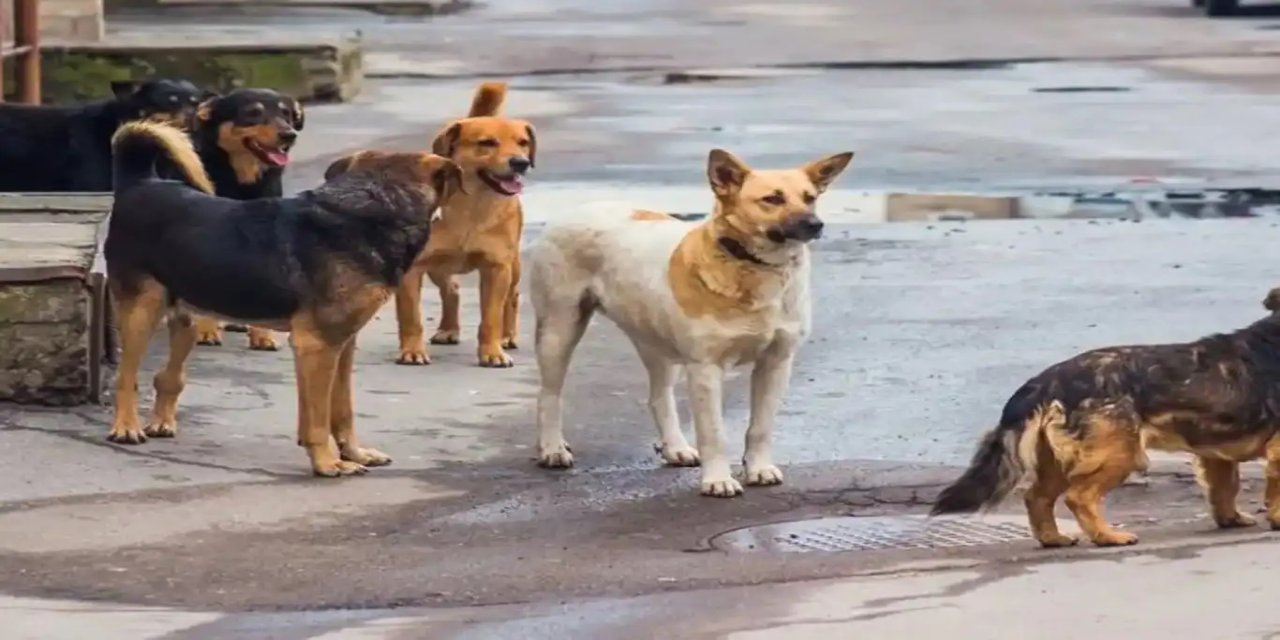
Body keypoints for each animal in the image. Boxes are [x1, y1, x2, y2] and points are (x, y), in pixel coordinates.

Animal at [104, 122, 463, 478]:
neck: (375, 206)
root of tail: (140, 182)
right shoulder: (317, 345)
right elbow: (318, 419)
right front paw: (328, 462)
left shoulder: (342, 344)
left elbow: (341, 410)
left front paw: (354, 453)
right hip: (141, 311)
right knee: (126, 377)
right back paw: (126, 427)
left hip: (186, 316)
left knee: (168, 375)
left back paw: (161, 421)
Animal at [183, 88, 304, 353]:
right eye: (253, 113)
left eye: (287, 114)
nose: (289, 135)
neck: (241, 181)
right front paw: (206, 330)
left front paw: (262, 336)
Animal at [524, 147, 855, 496]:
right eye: (772, 199)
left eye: (809, 198)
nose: (816, 224)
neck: (752, 266)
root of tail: (578, 209)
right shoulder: (706, 369)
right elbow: (714, 433)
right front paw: (718, 480)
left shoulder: (776, 363)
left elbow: (761, 427)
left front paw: (759, 468)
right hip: (559, 331)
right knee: (549, 395)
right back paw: (552, 448)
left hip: (656, 342)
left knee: (659, 397)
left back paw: (675, 447)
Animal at [936, 289, 1280, 545]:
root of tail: (1047, 380)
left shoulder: (1215, 454)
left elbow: (1224, 490)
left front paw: (1231, 520)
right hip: (1119, 455)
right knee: (1078, 497)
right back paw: (1107, 536)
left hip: (1058, 462)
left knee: (1037, 497)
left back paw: (1053, 538)